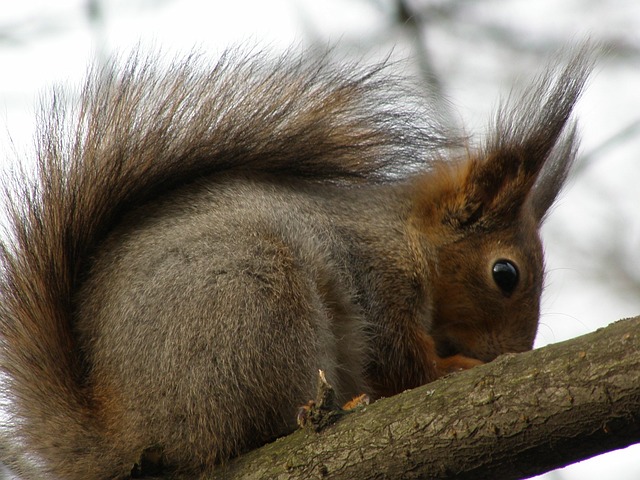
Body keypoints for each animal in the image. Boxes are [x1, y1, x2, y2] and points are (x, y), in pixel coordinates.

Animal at [0, 46, 592, 480]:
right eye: (505, 274)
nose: (513, 352)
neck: (404, 239)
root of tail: (126, 430)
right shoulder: (376, 284)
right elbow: (404, 364)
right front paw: (460, 368)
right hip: (259, 308)